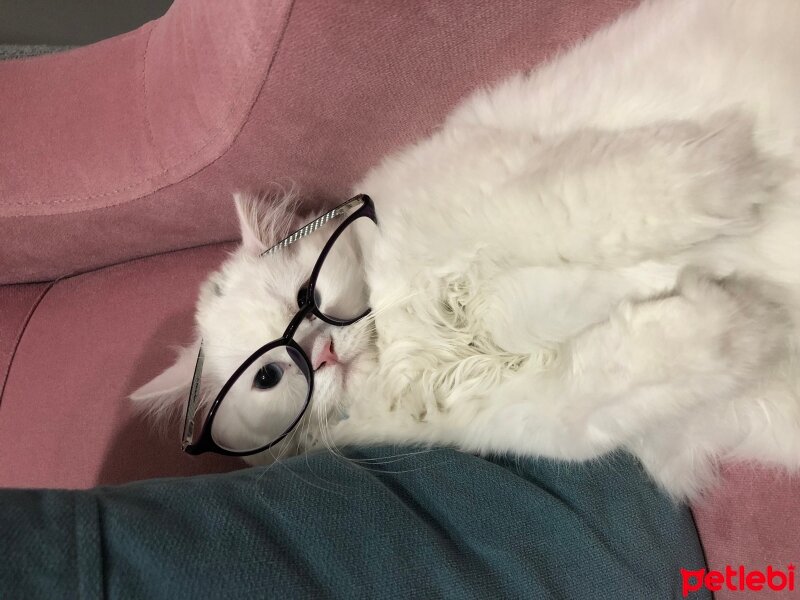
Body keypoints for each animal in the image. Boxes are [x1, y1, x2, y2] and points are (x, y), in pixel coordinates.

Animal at [133, 0, 800, 500]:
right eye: (269, 376)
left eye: (307, 297)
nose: (322, 354)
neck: (403, 335)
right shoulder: (542, 412)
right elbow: (647, 354)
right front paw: (746, 319)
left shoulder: (500, 195)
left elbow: (601, 208)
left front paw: (735, 176)